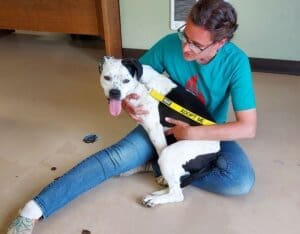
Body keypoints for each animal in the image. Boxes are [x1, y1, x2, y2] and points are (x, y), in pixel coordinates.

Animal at [99, 56, 219, 207]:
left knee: (177, 193)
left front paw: (162, 176)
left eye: (126, 80)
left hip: (170, 154)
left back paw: (155, 198)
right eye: (107, 77)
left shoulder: (154, 130)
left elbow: (159, 150)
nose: (114, 92)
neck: (141, 84)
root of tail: (217, 152)